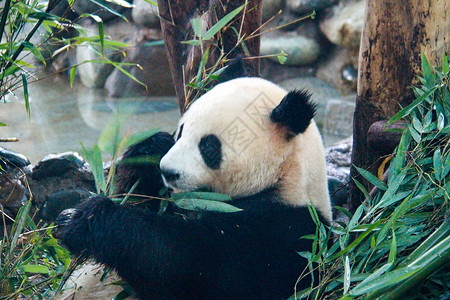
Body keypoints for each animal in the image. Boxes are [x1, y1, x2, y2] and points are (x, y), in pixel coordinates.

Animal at [54, 75, 332, 300]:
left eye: (208, 146)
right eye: (181, 131)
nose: (168, 171)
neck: (282, 176)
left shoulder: (284, 234)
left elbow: (186, 266)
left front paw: (87, 219)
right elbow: (140, 194)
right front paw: (150, 150)